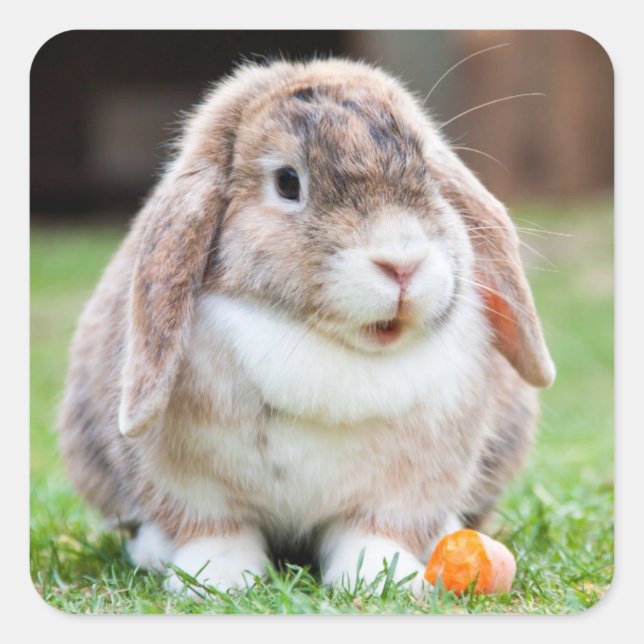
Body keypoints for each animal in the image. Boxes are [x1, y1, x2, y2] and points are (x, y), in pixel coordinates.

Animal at [58, 57, 555, 597]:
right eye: (288, 182)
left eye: (426, 170)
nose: (402, 264)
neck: (326, 346)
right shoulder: (193, 488)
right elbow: (216, 531)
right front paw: (217, 581)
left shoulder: (403, 491)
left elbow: (375, 533)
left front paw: (383, 580)